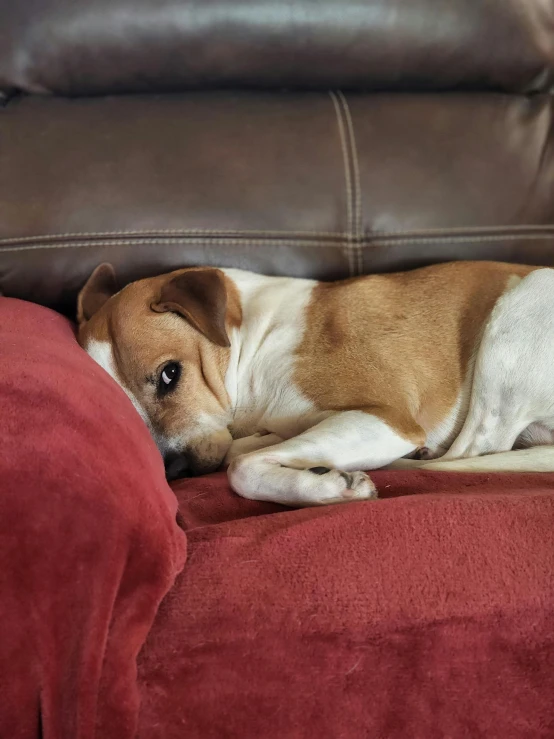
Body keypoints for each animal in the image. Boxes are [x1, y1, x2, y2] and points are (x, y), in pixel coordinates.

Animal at [75, 262, 552, 508]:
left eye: (170, 374)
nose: (174, 470)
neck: (255, 341)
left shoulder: (385, 419)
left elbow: (241, 468)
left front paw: (330, 487)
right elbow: (245, 449)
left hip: (521, 308)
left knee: (472, 451)